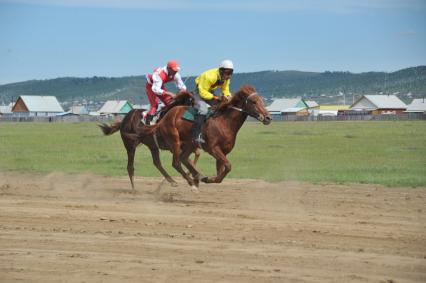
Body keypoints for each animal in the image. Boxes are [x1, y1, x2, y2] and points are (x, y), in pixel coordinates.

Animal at [115, 84, 270, 191]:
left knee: (167, 161)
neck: (224, 122)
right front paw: (201, 178)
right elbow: (228, 166)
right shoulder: (213, 148)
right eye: (254, 102)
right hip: (155, 143)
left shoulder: (222, 152)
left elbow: (221, 172)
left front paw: (206, 178)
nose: (268, 117)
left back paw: (188, 178)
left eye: (262, 100)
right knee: (171, 163)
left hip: (172, 144)